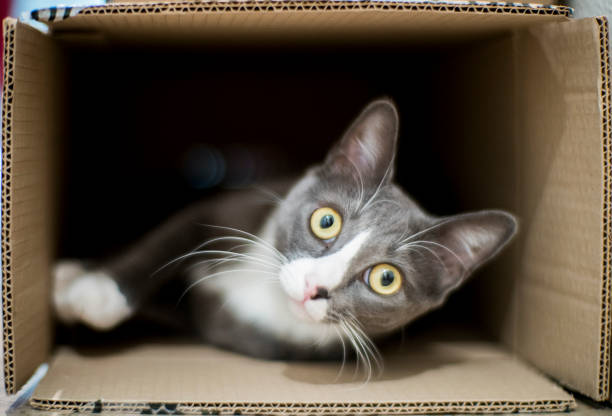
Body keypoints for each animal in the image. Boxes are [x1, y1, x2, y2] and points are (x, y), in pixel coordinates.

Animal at [53, 98, 516, 374]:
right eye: (326, 221)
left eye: (387, 278)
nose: (315, 287)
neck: (264, 289)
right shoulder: (225, 210)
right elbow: (165, 241)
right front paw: (96, 292)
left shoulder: (232, 328)